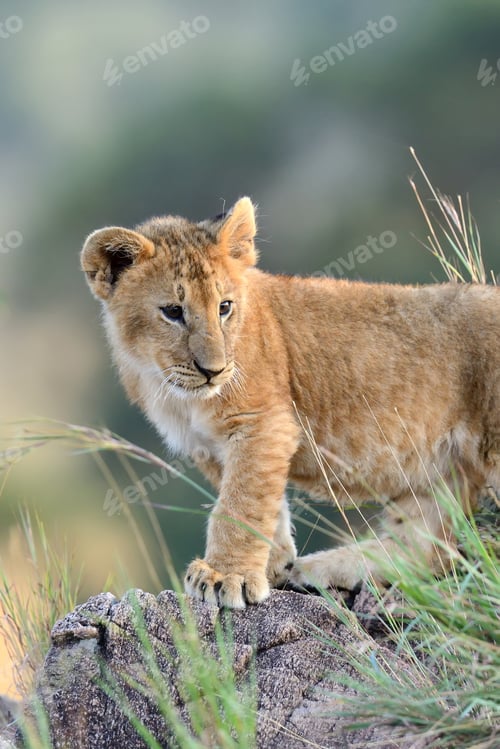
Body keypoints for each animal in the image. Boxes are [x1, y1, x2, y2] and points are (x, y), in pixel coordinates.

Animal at [81, 197, 500, 608]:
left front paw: (225, 576)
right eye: (172, 312)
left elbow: (240, 503)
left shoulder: (262, 422)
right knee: (427, 546)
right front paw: (272, 565)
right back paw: (318, 569)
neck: (166, 385)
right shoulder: (212, 447)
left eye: (224, 307)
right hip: (441, 476)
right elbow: (263, 503)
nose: (214, 371)